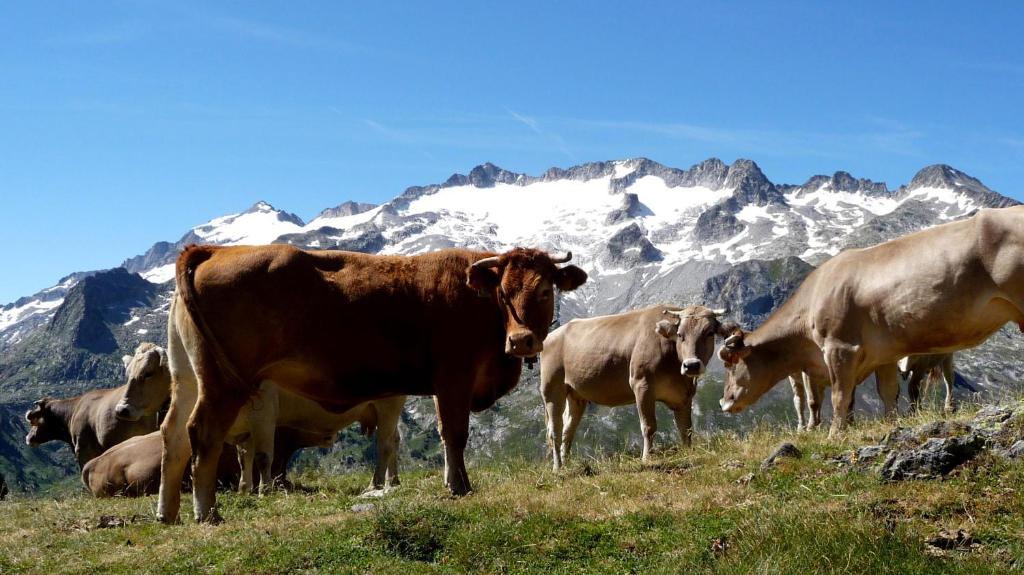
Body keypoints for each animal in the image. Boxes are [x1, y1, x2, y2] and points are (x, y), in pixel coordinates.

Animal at [153, 243, 585, 521]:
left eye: (544, 290)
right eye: (503, 292)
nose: (521, 340)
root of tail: (212, 249)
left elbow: (444, 434)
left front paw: (457, 482)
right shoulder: (453, 377)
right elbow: (454, 433)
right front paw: (458, 486)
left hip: (187, 376)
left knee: (172, 436)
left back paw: (167, 513)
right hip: (221, 383)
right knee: (202, 433)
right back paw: (207, 512)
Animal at [540, 302, 733, 468]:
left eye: (709, 333)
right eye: (680, 335)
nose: (691, 365)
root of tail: (553, 334)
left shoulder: (684, 396)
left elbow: (686, 429)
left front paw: (689, 453)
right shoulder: (642, 384)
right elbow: (649, 426)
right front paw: (647, 459)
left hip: (576, 395)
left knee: (568, 431)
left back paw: (566, 465)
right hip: (552, 389)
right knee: (555, 431)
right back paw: (557, 468)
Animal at [720, 205, 1024, 433]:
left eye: (731, 363)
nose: (724, 402)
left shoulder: (840, 348)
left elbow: (840, 396)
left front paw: (834, 435)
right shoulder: (884, 356)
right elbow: (888, 394)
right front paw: (892, 426)